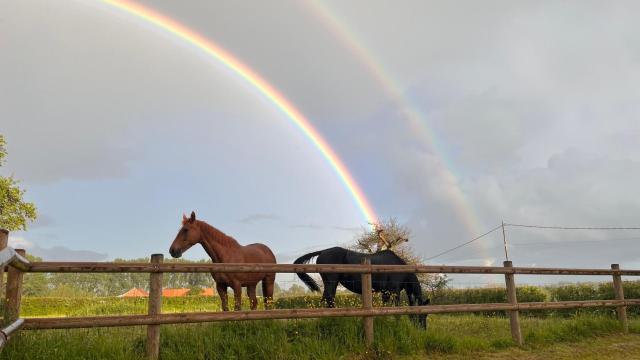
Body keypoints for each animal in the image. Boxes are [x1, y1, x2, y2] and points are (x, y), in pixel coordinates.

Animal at [296, 246, 430, 328]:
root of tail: (323, 251)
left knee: (327, 298)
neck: (400, 269)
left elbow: (385, 306)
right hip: (331, 281)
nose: (423, 329)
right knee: (329, 298)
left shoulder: (385, 292)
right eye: (423, 314)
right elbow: (397, 308)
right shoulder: (394, 291)